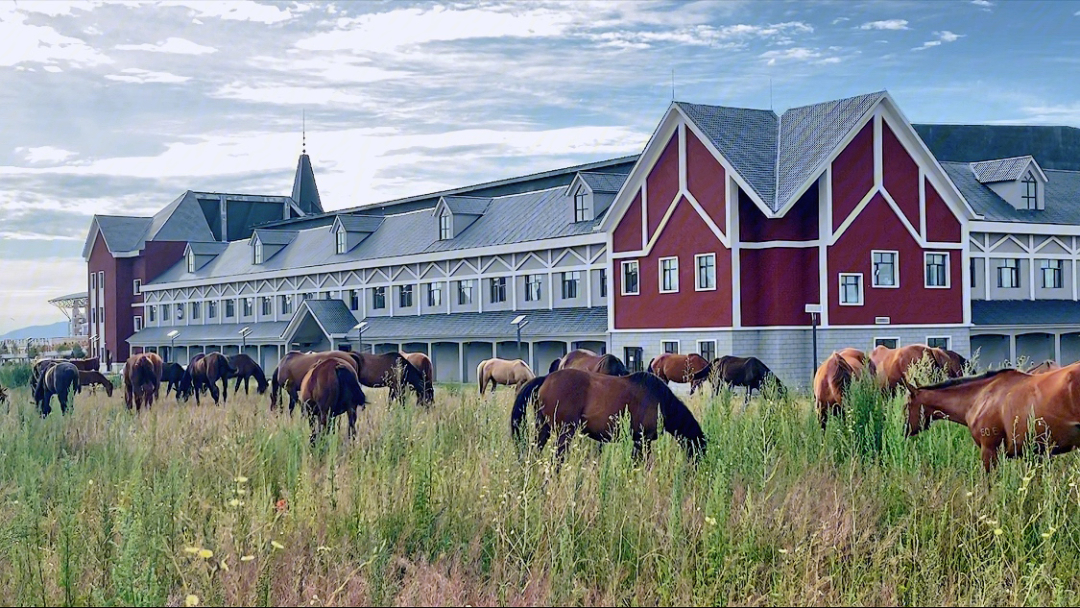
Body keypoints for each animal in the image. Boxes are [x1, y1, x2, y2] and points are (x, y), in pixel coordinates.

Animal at [511, 369, 708, 464]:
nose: (695, 471)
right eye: (699, 451)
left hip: (543, 429)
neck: (660, 400)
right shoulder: (642, 441)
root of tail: (545, 379)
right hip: (564, 434)